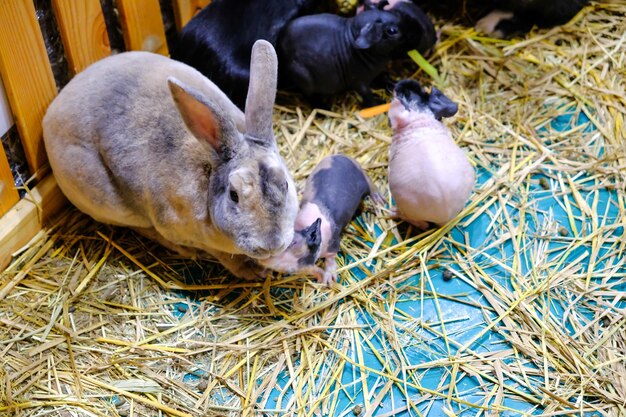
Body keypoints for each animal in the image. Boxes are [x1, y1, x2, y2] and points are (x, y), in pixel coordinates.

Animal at [43, 40, 298, 278]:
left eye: (285, 185)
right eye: (234, 195)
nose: (272, 244)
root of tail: (50, 115)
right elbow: (224, 256)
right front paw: (253, 272)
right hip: (109, 204)